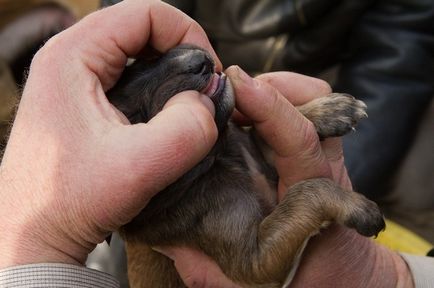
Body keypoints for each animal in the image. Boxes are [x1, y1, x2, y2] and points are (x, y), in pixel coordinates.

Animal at [107, 45, 384, 288]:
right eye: (136, 117)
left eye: (147, 60)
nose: (199, 61)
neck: (220, 157)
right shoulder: (256, 261)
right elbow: (302, 194)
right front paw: (357, 207)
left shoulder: (255, 154)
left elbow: (263, 136)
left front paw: (328, 111)